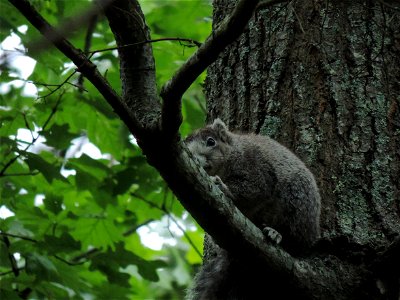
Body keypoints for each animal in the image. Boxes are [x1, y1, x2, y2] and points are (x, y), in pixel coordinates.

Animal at [185, 118, 322, 298]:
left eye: (211, 141)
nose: (195, 158)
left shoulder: (257, 166)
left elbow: (255, 188)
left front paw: (223, 187)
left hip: (298, 203)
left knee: (294, 239)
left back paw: (277, 233)